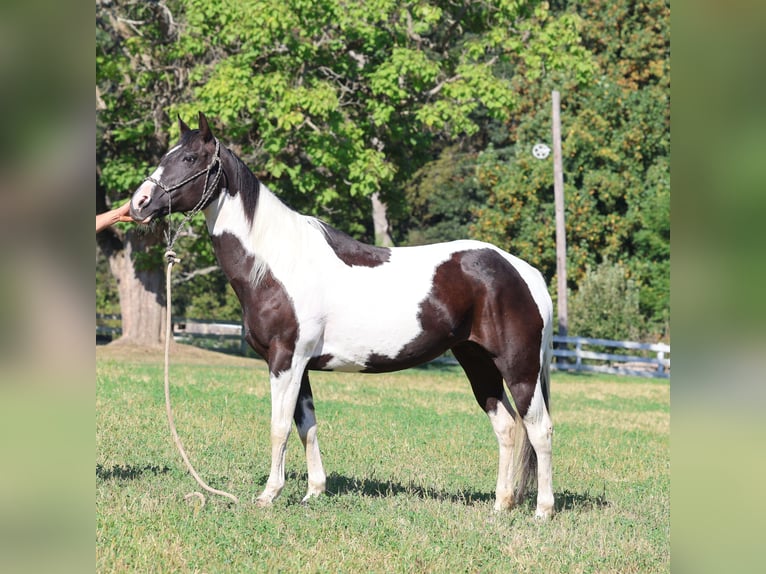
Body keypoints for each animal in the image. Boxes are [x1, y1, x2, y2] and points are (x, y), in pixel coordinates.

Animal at [129, 112, 555, 519]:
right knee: (507, 427)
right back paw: (502, 505)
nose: (139, 203)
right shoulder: (298, 366)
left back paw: (542, 510)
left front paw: (269, 495)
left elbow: (279, 427)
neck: (277, 263)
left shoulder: (285, 360)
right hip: (476, 361)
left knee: (540, 429)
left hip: (519, 368)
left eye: (188, 158)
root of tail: (524, 272)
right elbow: (307, 426)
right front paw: (313, 492)